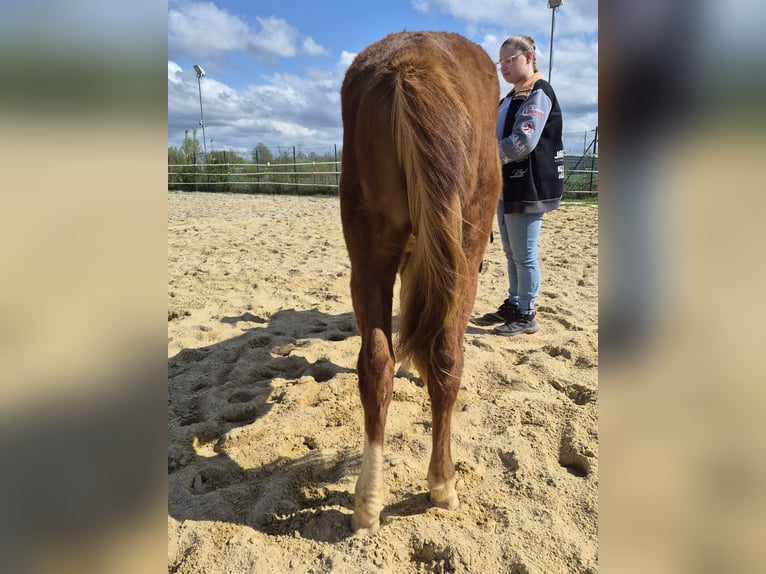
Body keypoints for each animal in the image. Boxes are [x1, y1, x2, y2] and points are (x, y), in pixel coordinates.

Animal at [339, 31, 502, 534]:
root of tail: (411, 63)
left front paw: (411, 362)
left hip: (368, 255)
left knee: (376, 363)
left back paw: (368, 503)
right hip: (466, 253)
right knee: (448, 354)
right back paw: (443, 485)